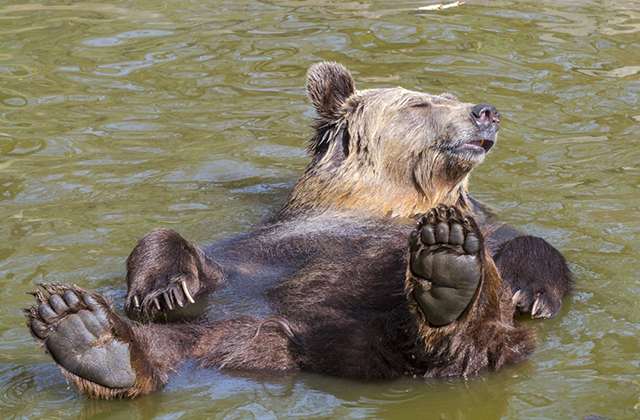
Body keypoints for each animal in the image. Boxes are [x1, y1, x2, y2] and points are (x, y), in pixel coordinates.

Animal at [26, 61, 576, 398]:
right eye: (419, 104)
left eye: (448, 96)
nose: (486, 112)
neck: (390, 203)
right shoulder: (272, 246)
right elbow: (201, 260)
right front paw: (161, 287)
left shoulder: (483, 223)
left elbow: (527, 246)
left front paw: (528, 288)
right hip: (226, 328)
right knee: (170, 343)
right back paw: (87, 334)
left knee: (473, 338)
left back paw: (449, 278)